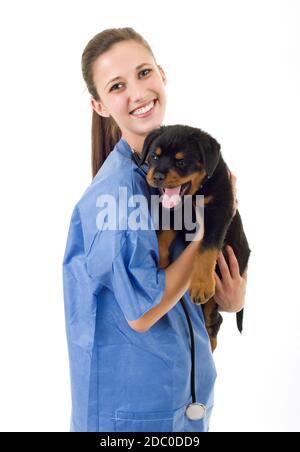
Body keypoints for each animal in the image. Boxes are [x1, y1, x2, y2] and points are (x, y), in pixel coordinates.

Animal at [135, 124, 250, 354]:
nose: (157, 176)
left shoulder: (219, 211)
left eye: (181, 162)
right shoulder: (173, 210)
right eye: (154, 157)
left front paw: (201, 285)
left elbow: (206, 249)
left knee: (214, 320)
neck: (194, 195)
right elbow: (163, 236)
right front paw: (161, 262)